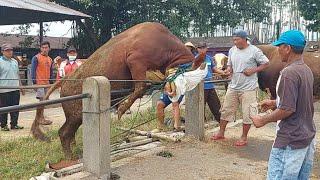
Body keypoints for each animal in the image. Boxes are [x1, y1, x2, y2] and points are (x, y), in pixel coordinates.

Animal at [30, 22, 205, 159]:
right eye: (185, 74)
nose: (176, 94)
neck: (166, 45)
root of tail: (65, 79)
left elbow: (144, 86)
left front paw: (121, 106)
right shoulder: (135, 60)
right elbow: (142, 86)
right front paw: (121, 108)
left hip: (75, 116)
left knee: (68, 133)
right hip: (74, 114)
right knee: (64, 133)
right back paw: (70, 158)